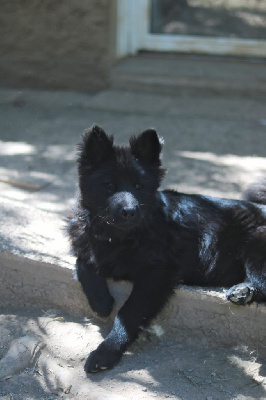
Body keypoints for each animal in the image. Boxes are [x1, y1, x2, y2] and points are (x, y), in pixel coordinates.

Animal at [68, 123, 266, 374]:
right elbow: (82, 262)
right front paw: (101, 302)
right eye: (109, 186)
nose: (129, 211)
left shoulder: (157, 274)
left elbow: (128, 313)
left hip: (257, 249)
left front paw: (106, 351)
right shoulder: (87, 247)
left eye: (139, 186)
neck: (118, 237)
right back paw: (243, 291)